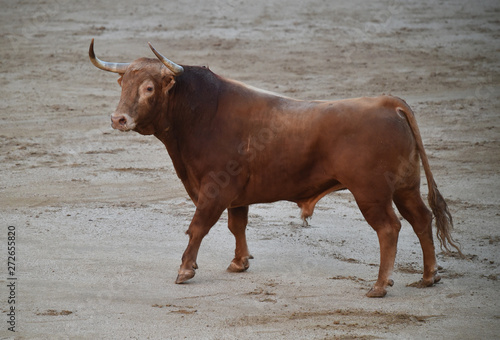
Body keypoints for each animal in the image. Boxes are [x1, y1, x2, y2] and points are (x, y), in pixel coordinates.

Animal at [88, 39, 458, 298]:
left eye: (149, 88)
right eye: (123, 85)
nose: (118, 119)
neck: (199, 113)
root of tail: (389, 103)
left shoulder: (215, 188)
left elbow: (198, 226)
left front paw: (185, 270)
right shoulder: (235, 194)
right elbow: (236, 225)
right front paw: (239, 262)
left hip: (371, 193)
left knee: (389, 228)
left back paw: (379, 286)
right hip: (406, 187)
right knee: (421, 219)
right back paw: (428, 277)